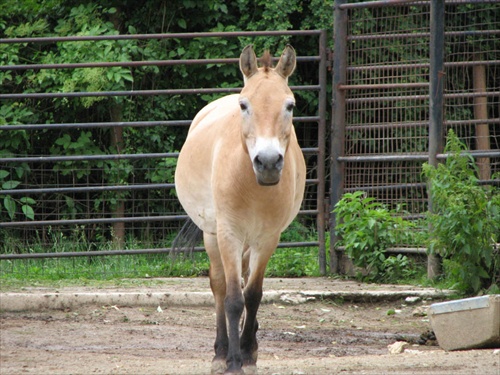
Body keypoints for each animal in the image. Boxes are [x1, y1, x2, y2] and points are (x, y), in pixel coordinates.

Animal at [174, 45, 306, 374]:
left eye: (290, 105)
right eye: (244, 105)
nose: (268, 162)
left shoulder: (268, 238)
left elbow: (253, 294)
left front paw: (247, 354)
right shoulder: (229, 234)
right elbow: (233, 298)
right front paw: (232, 360)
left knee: (245, 283)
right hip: (212, 235)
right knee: (220, 287)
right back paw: (220, 352)